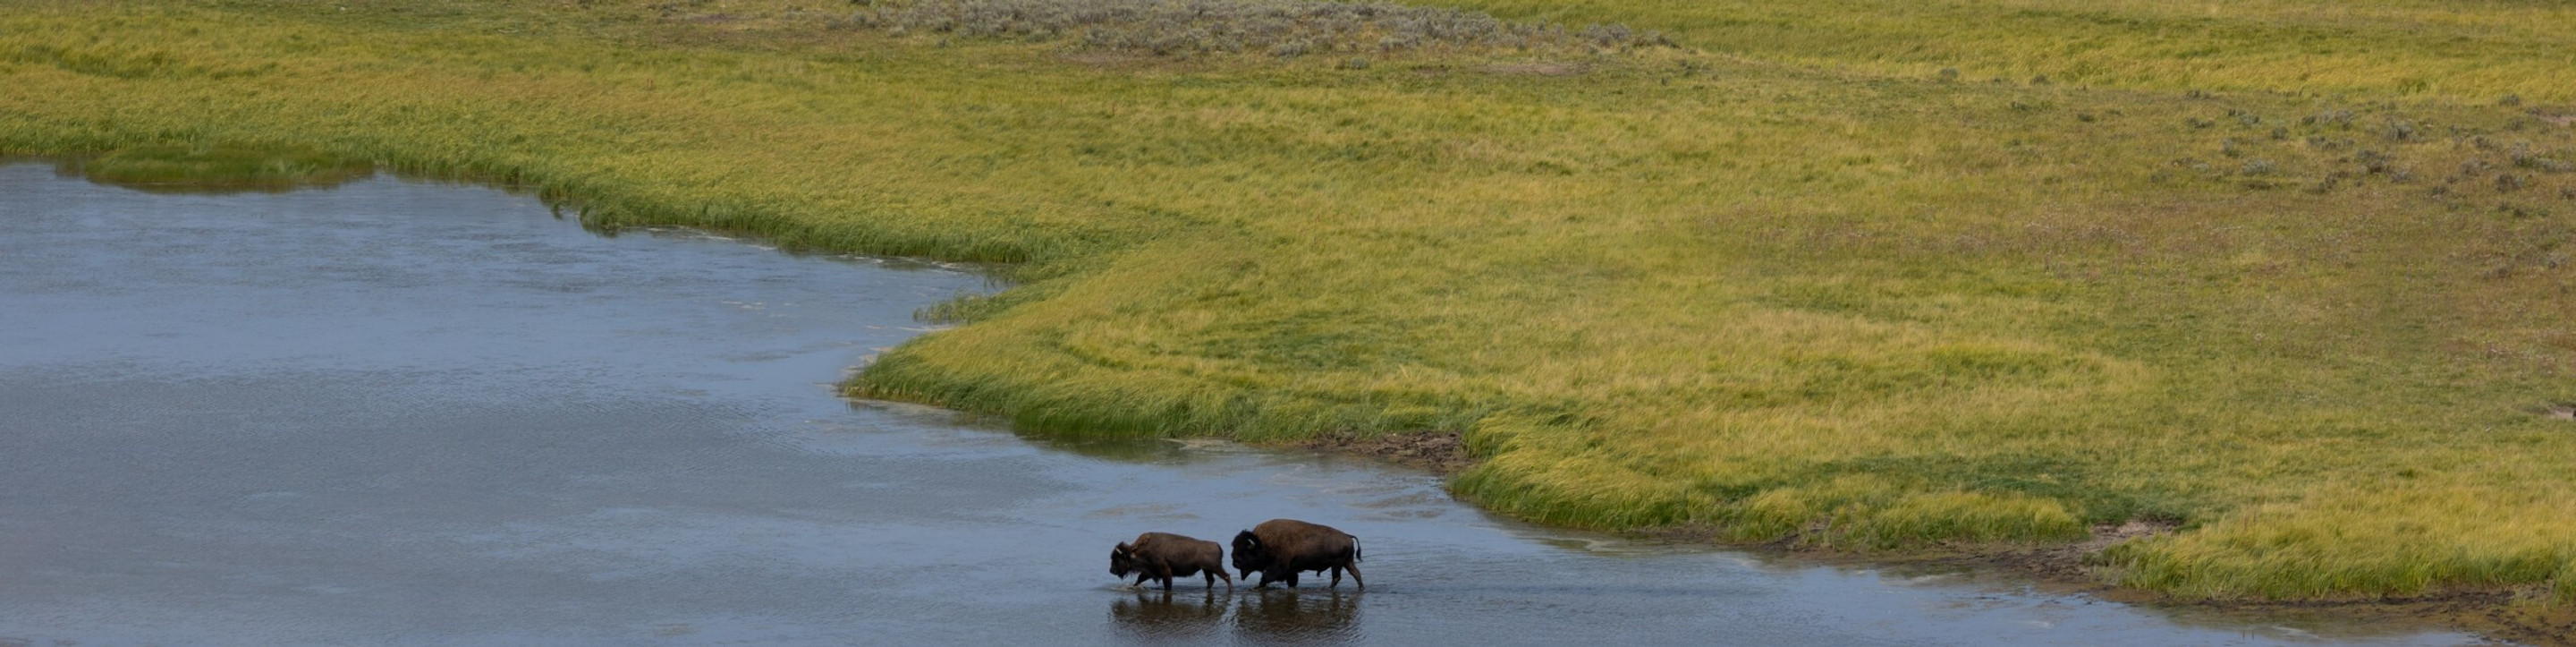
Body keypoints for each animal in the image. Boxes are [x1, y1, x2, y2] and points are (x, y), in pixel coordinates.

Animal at [1102, 531, 1231, 590]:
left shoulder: (1165, 572)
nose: (1111, 570)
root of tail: (1217, 545)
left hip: (1215, 568)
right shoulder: (1150, 571)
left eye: (1117, 559)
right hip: (1206, 570)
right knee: (1211, 581)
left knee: (1226, 576)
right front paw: (1134, 587)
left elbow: (1167, 585)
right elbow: (1140, 579)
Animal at [1231, 517, 1370, 587]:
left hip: (1337, 564)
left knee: (1337, 577)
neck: (1263, 543)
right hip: (1347, 562)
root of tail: (1347, 536)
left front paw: (1257, 586)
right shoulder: (1290, 571)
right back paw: (1361, 588)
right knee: (1356, 574)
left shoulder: (1279, 568)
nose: (1234, 563)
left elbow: (1266, 577)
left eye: (1243, 551)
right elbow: (1291, 581)